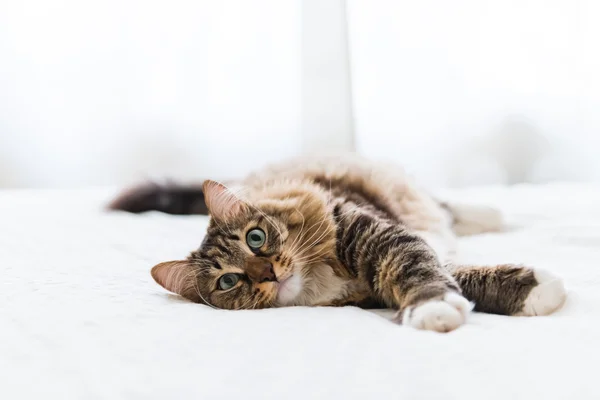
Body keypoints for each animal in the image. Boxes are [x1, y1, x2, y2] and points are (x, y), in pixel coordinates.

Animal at [110, 155, 564, 332]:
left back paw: (489, 213)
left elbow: (422, 267)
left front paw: (431, 307)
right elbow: (453, 275)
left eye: (255, 238)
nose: (267, 273)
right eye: (229, 282)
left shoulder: (378, 234)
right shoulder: (373, 288)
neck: (318, 278)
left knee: (443, 207)